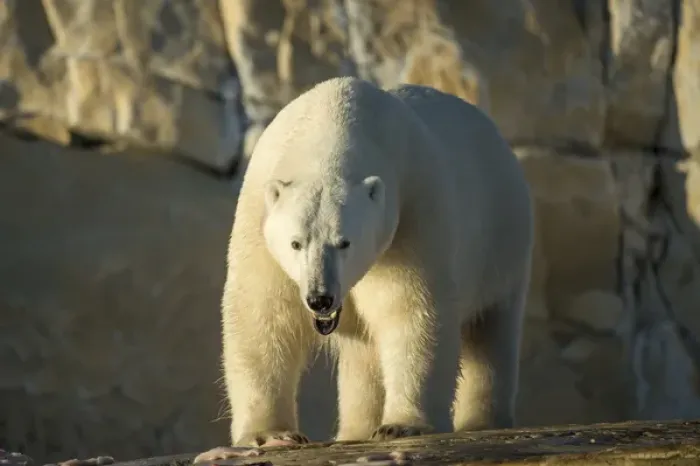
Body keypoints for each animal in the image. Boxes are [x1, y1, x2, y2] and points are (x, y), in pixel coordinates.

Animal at [194, 76, 534, 462]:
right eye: (296, 243)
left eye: (345, 242)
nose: (320, 299)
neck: (333, 117)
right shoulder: (257, 219)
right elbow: (263, 315)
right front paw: (269, 435)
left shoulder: (412, 214)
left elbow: (412, 310)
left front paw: (402, 425)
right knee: (363, 353)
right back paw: (353, 431)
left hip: (502, 239)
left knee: (491, 332)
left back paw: (481, 421)